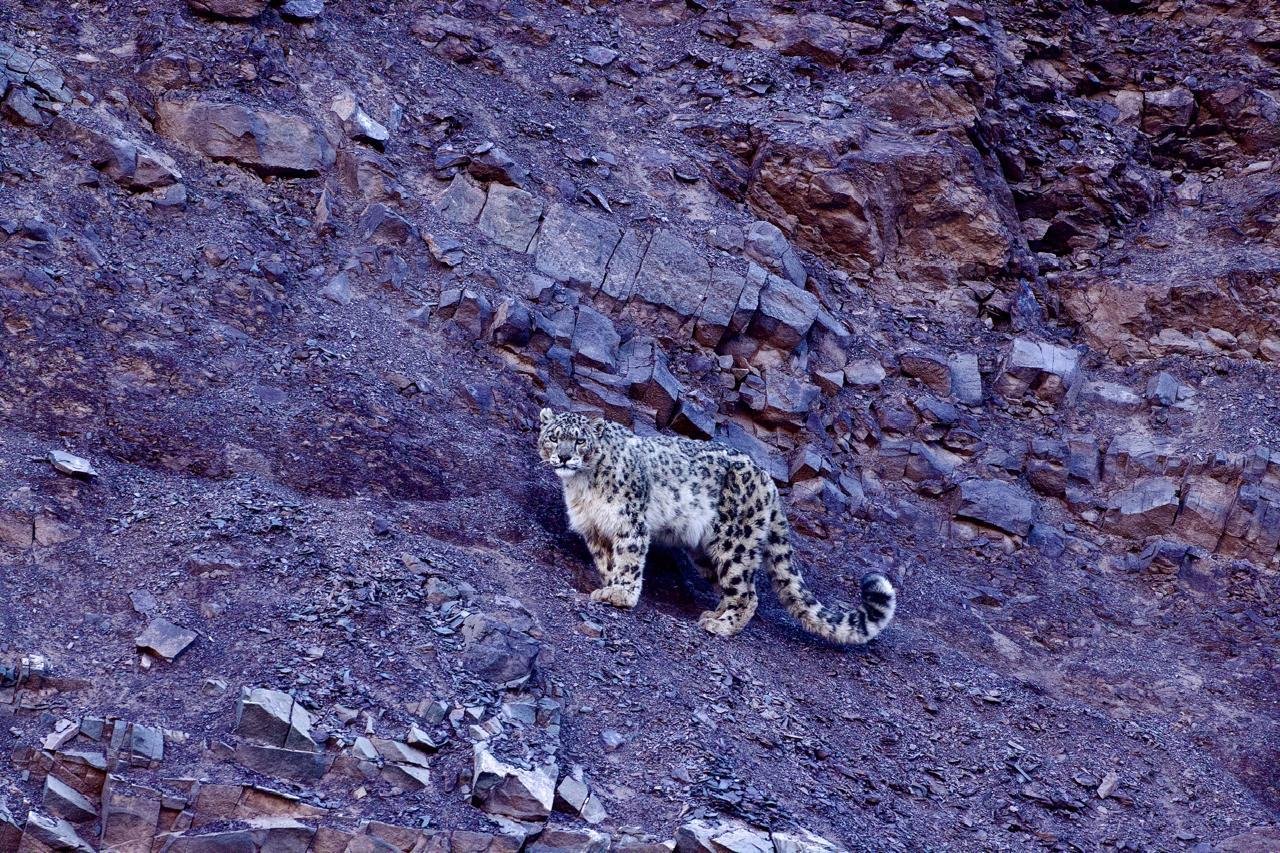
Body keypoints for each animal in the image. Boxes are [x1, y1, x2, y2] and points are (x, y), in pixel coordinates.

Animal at [537, 408, 897, 643]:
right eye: (553, 438)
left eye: (580, 441)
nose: (565, 457)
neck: (582, 486)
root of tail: (767, 480)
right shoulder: (594, 529)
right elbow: (607, 562)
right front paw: (608, 586)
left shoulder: (629, 521)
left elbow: (628, 560)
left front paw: (620, 594)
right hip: (706, 551)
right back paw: (715, 614)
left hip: (735, 543)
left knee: (748, 594)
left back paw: (722, 626)